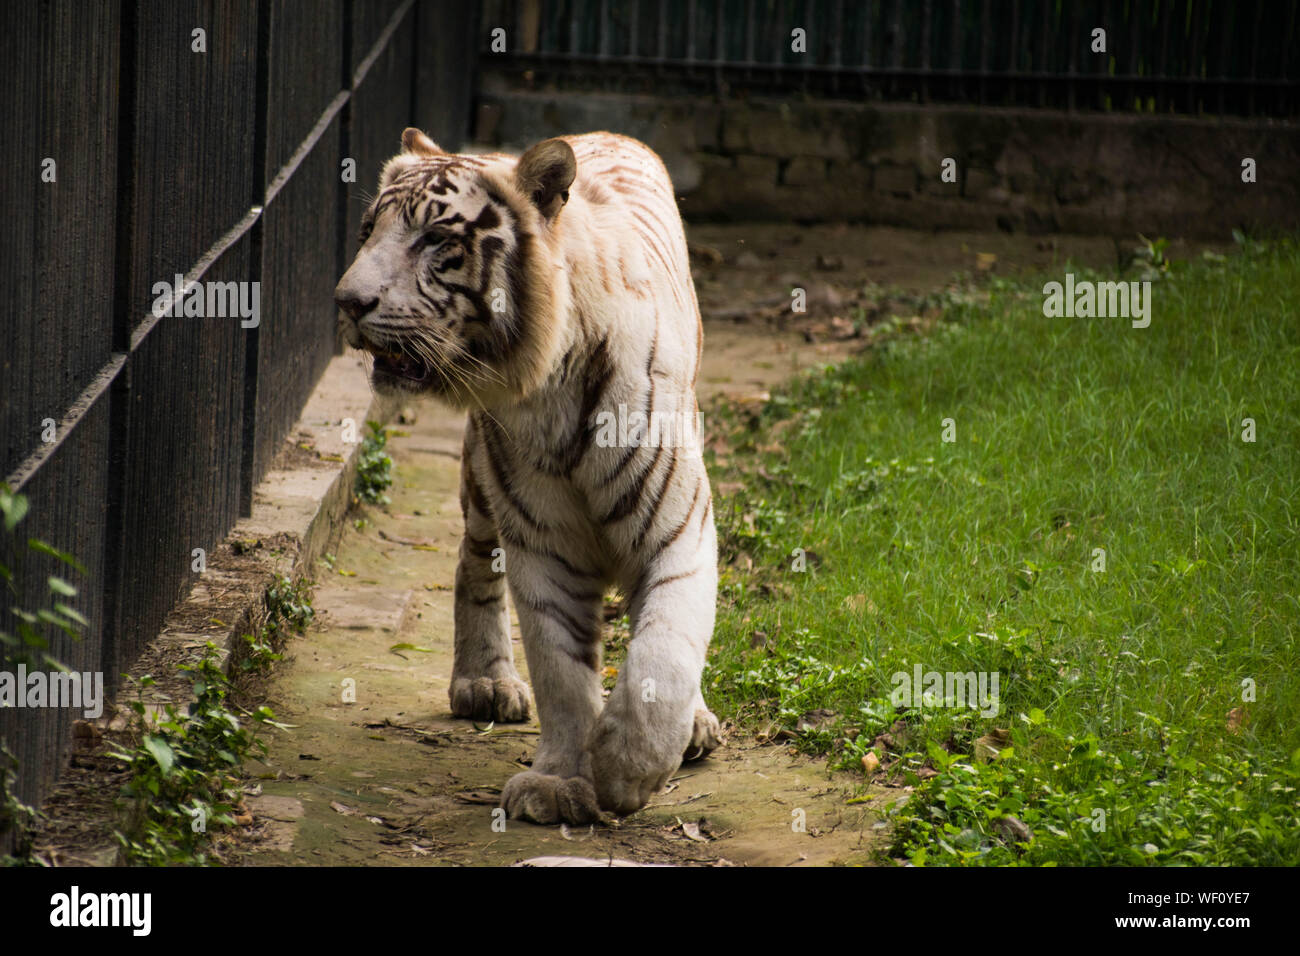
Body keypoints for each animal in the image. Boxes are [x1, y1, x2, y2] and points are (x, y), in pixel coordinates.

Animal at [335, 130, 722, 827]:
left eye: (433, 239)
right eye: (367, 230)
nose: (348, 303)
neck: (549, 385)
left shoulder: (677, 531)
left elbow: (664, 653)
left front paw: (626, 767)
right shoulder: (543, 545)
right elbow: (560, 671)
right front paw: (561, 783)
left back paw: (696, 725)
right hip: (482, 484)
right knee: (472, 563)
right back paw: (485, 682)